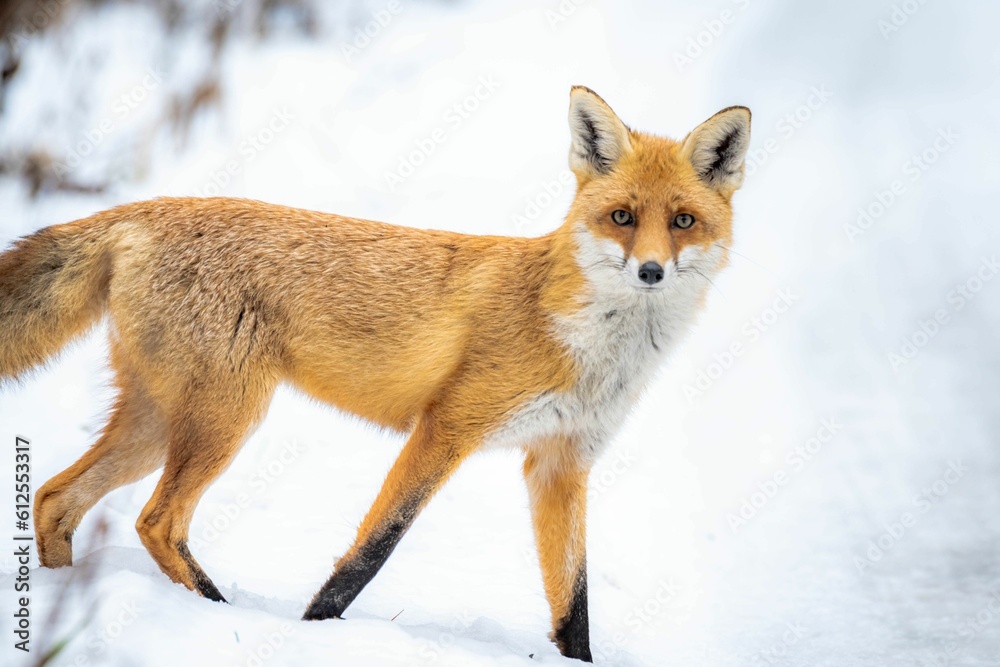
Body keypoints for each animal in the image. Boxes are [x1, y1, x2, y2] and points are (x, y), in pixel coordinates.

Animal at [0, 87, 752, 664]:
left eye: (683, 221)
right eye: (622, 216)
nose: (650, 271)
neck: (586, 343)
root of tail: (144, 210)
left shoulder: (561, 463)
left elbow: (574, 604)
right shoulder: (445, 428)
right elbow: (373, 549)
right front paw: (315, 629)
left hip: (160, 423)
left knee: (56, 498)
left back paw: (64, 599)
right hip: (224, 420)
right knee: (155, 522)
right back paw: (218, 614)